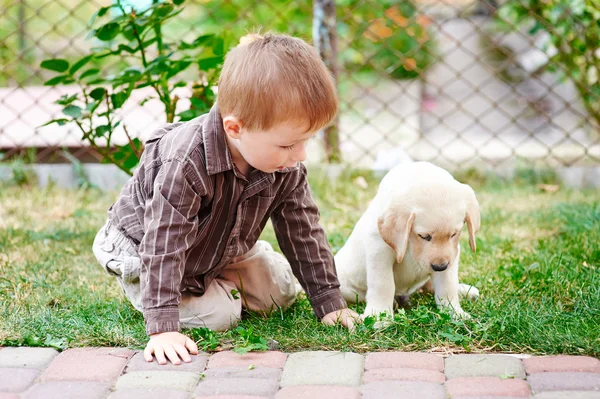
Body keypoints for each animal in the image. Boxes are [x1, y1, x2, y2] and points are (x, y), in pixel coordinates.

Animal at [336, 161, 480, 320]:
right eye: (424, 236)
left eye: (454, 234)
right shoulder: (379, 251)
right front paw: (380, 315)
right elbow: (383, 284)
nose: (439, 267)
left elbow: (447, 285)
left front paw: (454, 312)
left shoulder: (453, 254)